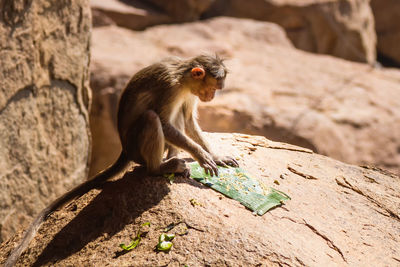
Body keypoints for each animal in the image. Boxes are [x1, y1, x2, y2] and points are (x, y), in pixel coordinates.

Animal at [4, 55, 238, 267]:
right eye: (213, 88)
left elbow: (188, 120)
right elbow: (163, 122)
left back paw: (172, 157)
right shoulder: (169, 88)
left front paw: (215, 156)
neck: (182, 77)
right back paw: (159, 168)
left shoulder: (189, 94)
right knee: (151, 118)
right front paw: (202, 156)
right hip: (137, 148)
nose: (211, 97)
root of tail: (125, 150)